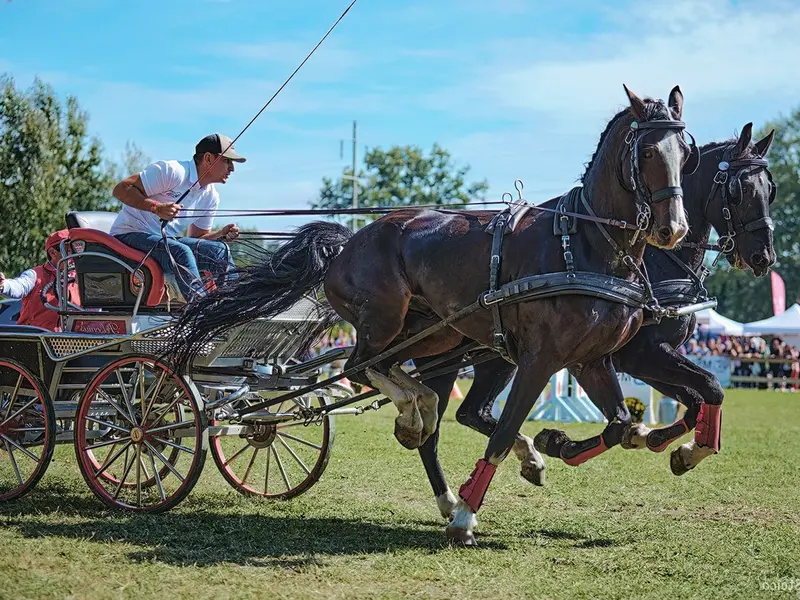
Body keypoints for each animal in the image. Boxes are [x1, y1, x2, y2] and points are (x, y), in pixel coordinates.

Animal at [167, 84, 692, 544]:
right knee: (361, 366)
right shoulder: (540, 359)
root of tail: (348, 241)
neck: (582, 246)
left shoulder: (590, 360)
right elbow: (503, 432)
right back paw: (415, 420)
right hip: (385, 317)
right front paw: (466, 517)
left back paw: (418, 420)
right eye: (648, 152)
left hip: (432, 335)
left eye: (685, 153)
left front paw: (552, 445)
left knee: (394, 377)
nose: (673, 229)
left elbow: (621, 425)